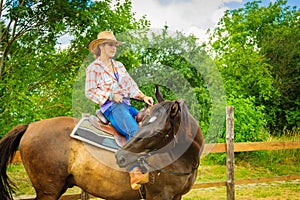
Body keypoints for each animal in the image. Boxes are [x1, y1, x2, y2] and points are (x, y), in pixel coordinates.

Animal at [0, 88, 204, 198]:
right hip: (48, 191)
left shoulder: (177, 196)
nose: (120, 156)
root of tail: (30, 126)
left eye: (158, 131)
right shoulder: (160, 195)